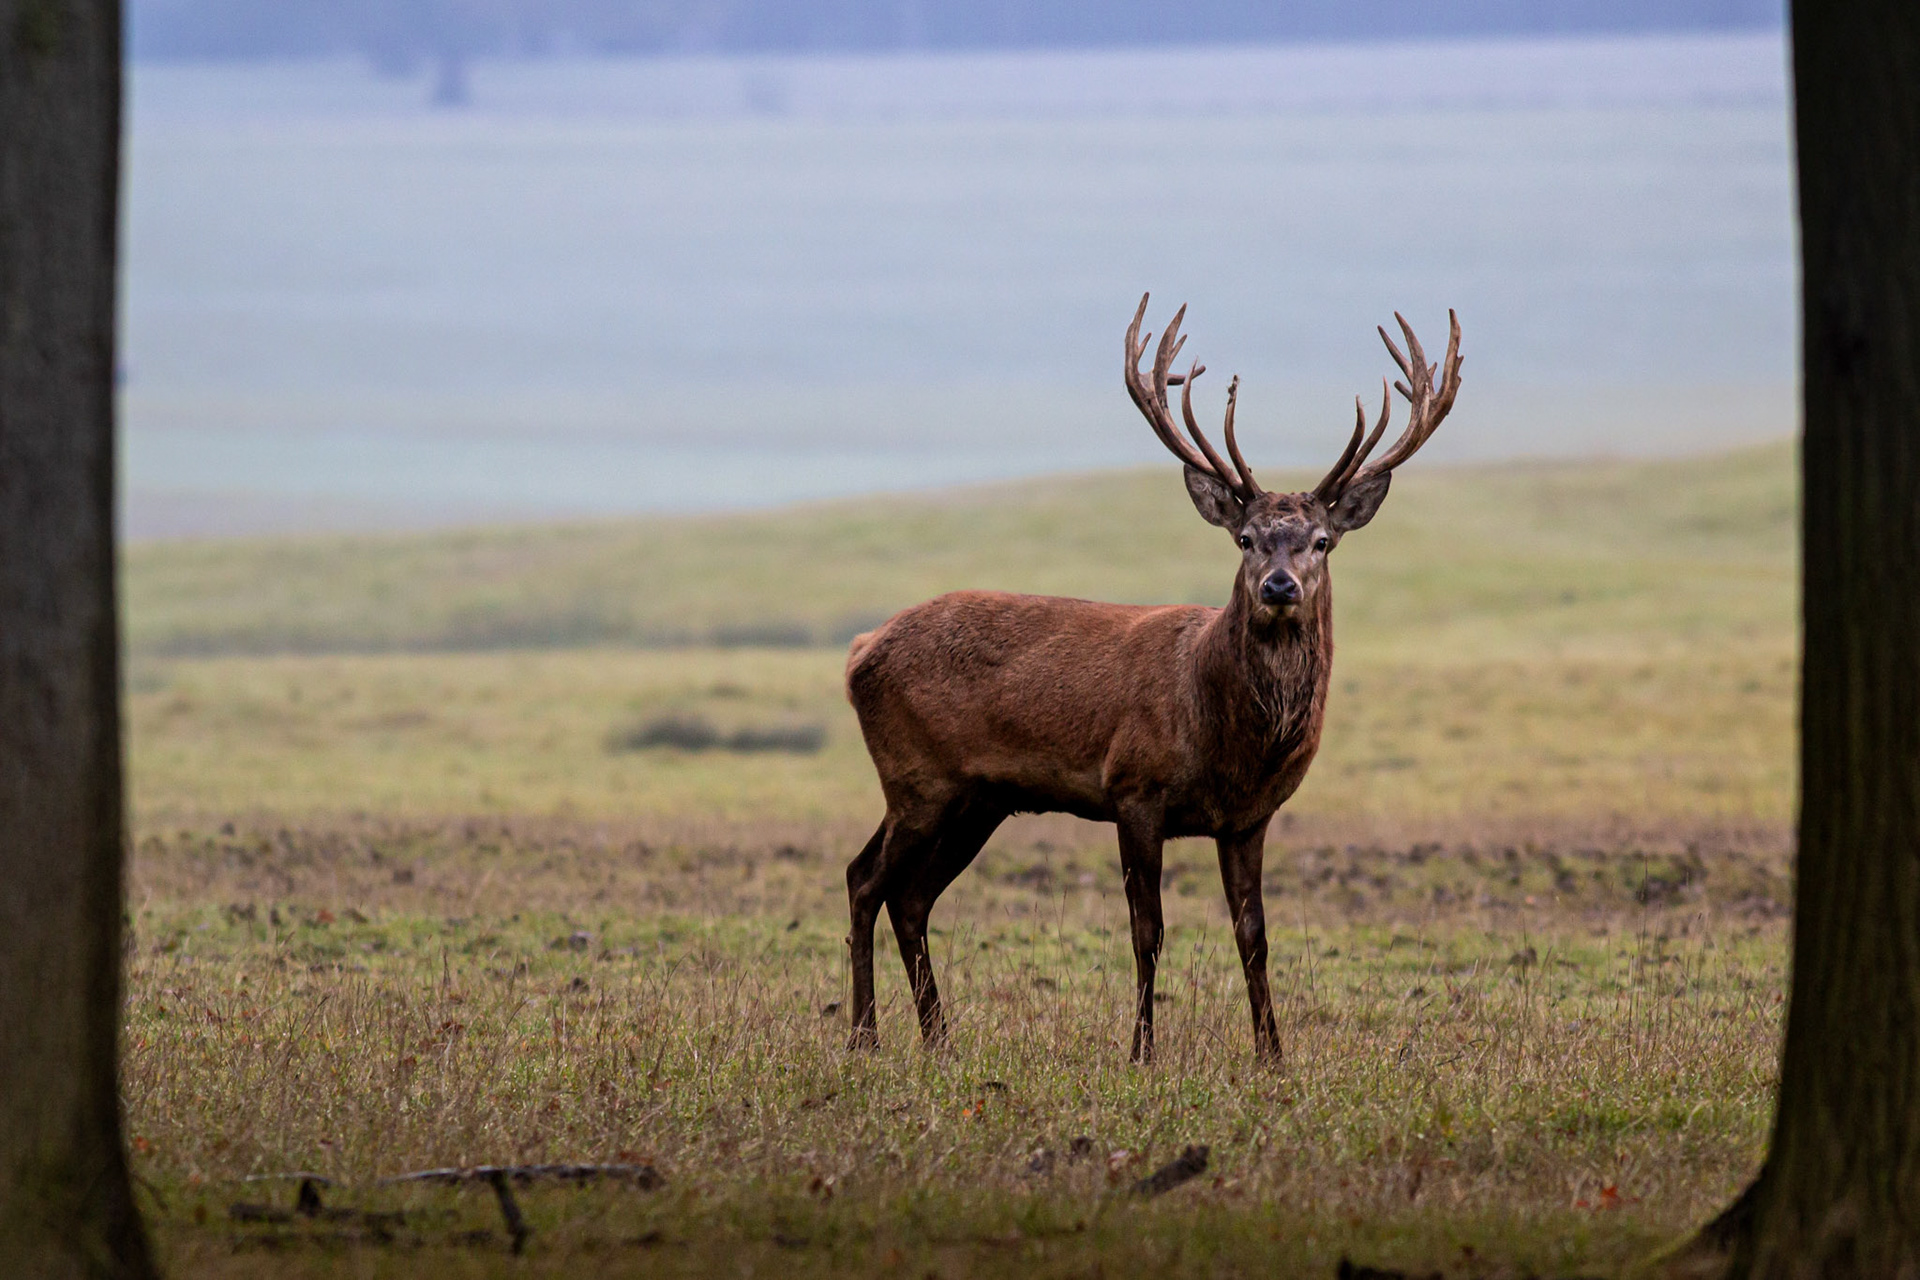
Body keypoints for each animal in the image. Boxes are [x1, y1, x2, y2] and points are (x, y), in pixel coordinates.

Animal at [842, 295, 1461, 1063]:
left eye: (1322, 541)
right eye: (1245, 539)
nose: (1279, 586)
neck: (1226, 740)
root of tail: (860, 651)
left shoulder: (1249, 818)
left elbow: (1254, 937)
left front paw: (1272, 1054)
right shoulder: (1134, 787)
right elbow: (1148, 931)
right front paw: (1141, 1051)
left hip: (977, 797)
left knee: (912, 895)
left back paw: (939, 1040)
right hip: (916, 776)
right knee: (865, 879)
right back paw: (864, 1036)